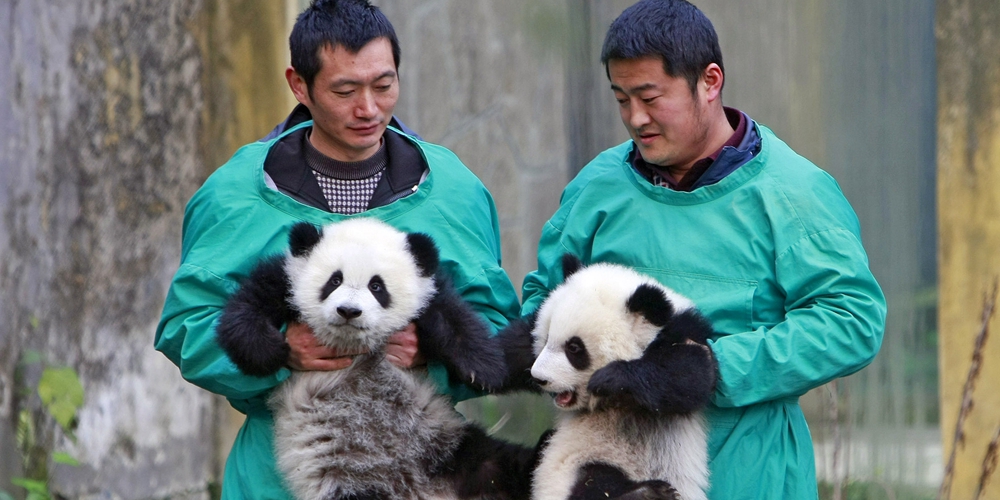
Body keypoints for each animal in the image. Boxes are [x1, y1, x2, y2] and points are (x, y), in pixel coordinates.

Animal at [215, 219, 536, 500]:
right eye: (334, 280)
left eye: (377, 286)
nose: (348, 311)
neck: (356, 346)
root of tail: (420, 490)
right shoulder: (285, 276)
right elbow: (248, 306)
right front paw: (267, 350)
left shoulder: (428, 292)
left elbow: (454, 317)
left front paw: (482, 368)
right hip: (348, 482)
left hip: (456, 449)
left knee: (503, 465)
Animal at [528, 256, 716, 500]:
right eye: (546, 338)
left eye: (574, 348)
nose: (539, 378)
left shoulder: (686, 333)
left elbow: (690, 375)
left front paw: (610, 378)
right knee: (594, 482)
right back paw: (645, 492)